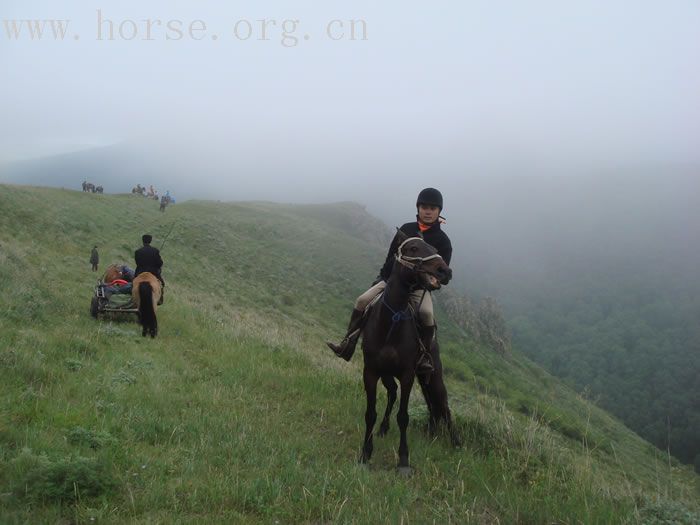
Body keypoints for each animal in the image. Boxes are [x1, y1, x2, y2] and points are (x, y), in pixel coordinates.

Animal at [360, 231, 460, 472]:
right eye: (413, 248)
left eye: (436, 249)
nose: (445, 271)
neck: (390, 322)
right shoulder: (371, 372)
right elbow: (370, 413)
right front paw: (365, 453)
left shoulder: (407, 375)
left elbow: (403, 417)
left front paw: (404, 460)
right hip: (392, 375)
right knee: (394, 394)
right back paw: (385, 428)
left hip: (433, 379)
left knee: (444, 407)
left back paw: (456, 442)